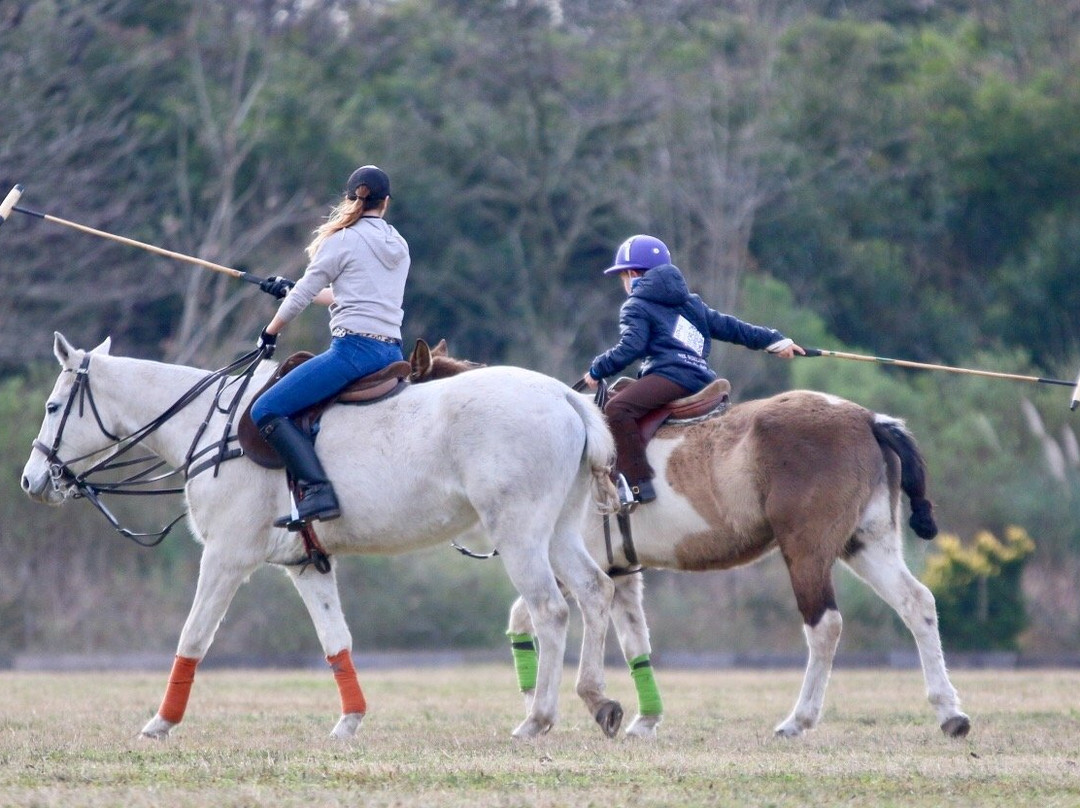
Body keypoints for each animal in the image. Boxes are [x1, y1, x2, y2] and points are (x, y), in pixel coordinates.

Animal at [23, 332, 626, 738]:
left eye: (52, 406)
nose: (32, 480)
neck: (208, 426)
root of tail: (567, 398)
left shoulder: (225, 556)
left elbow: (193, 638)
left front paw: (159, 723)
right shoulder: (306, 564)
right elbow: (336, 640)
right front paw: (349, 722)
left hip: (519, 533)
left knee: (550, 609)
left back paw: (537, 719)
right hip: (559, 530)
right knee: (596, 591)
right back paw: (599, 701)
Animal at [410, 339, 972, 738]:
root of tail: (868, 418)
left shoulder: (573, 564)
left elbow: (527, 616)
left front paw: (543, 706)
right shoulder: (621, 572)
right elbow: (634, 639)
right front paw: (643, 720)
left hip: (807, 550)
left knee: (825, 626)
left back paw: (798, 720)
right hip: (865, 542)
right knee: (917, 603)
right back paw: (950, 712)